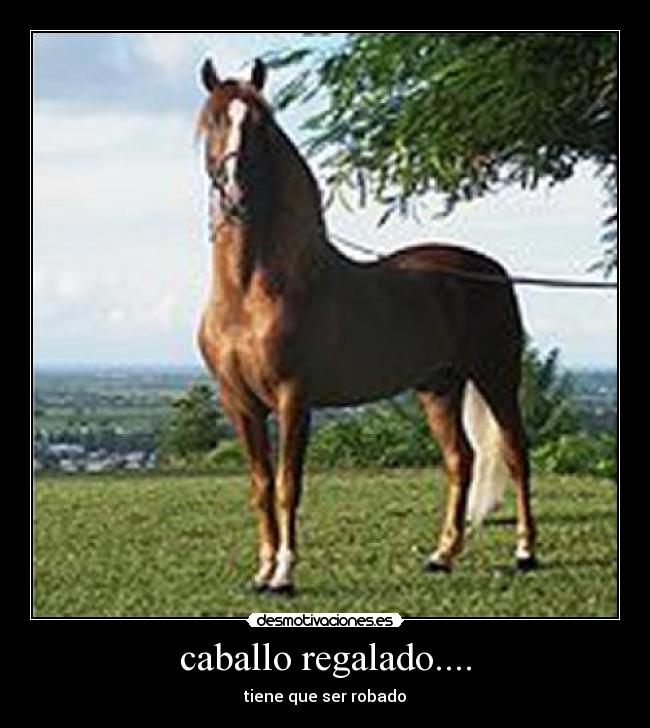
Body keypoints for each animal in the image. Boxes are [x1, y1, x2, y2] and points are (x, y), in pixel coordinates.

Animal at [196, 58, 537, 593]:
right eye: (213, 121)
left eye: (262, 127)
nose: (235, 194)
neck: (249, 295)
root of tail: (489, 269)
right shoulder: (239, 403)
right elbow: (260, 486)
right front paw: (262, 570)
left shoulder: (294, 398)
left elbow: (288, 485)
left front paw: (284, 575)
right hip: (438, 386)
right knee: (460, 460)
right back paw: (442, 555)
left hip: (496, 376)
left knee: (516, 453)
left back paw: (525, 552)